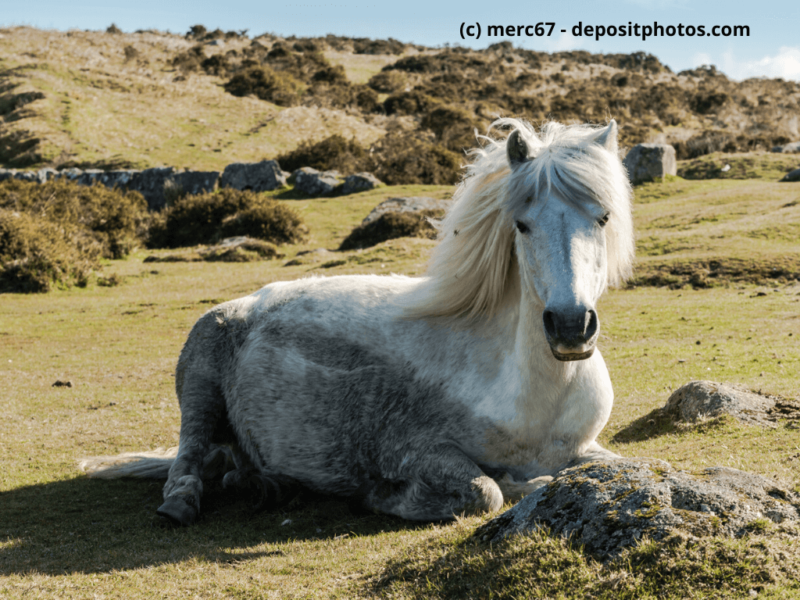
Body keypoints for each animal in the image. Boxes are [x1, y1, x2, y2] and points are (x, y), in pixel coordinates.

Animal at [80, 118, 635, 525]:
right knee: (189, 455)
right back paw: (183, 502)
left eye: (603, 218)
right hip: (199, 381)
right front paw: (381, 497)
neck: (531, 392)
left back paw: (268, 486)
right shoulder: (412, 449)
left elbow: (629, 465)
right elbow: (486, 491)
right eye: (522, 225)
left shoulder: (586, 446)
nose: (570, 326)